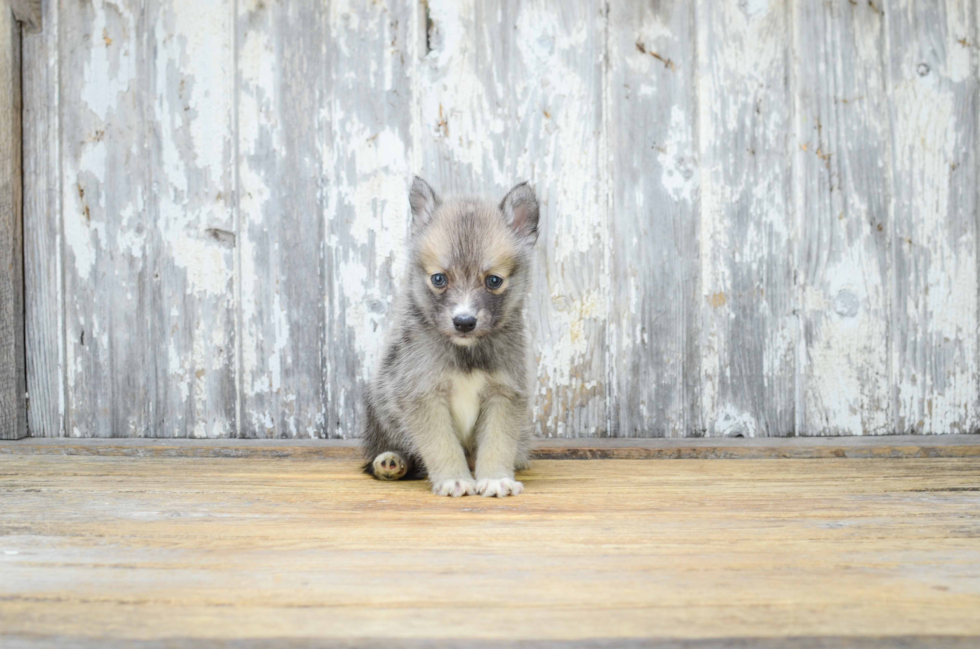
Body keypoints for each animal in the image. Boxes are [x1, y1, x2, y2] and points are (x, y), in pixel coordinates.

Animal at [364, 176, 540, 496]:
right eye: (439, 279)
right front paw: (453, 479)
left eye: (493, 280)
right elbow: (441, 444)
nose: (464, 322)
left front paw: (495, 478)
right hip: (379, 408)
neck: (465, 350)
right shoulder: (423, 394)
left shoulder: (504, 393)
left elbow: (498, 443)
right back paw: (390, 461)